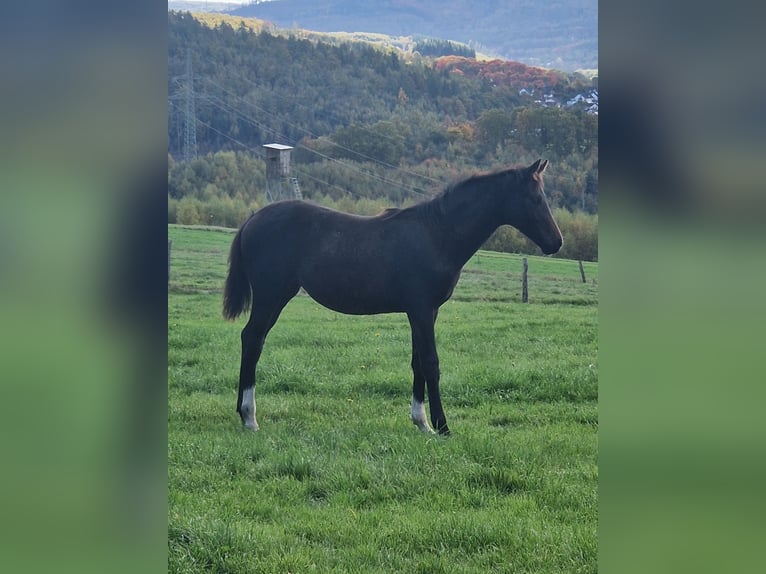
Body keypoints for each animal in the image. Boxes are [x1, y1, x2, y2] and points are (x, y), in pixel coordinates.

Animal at [223, 159, 563, 435]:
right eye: (535, 198)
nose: (556, 242)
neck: (437, 234)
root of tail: (253, 218)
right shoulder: (422, 310)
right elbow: (431, 362)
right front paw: (442, 426)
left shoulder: (423, 312)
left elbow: (417, 362)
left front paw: (422, 423)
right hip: (271, 296)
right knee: (253, 339)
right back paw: (250, 416)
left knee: (251, 339)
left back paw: (241, 411)